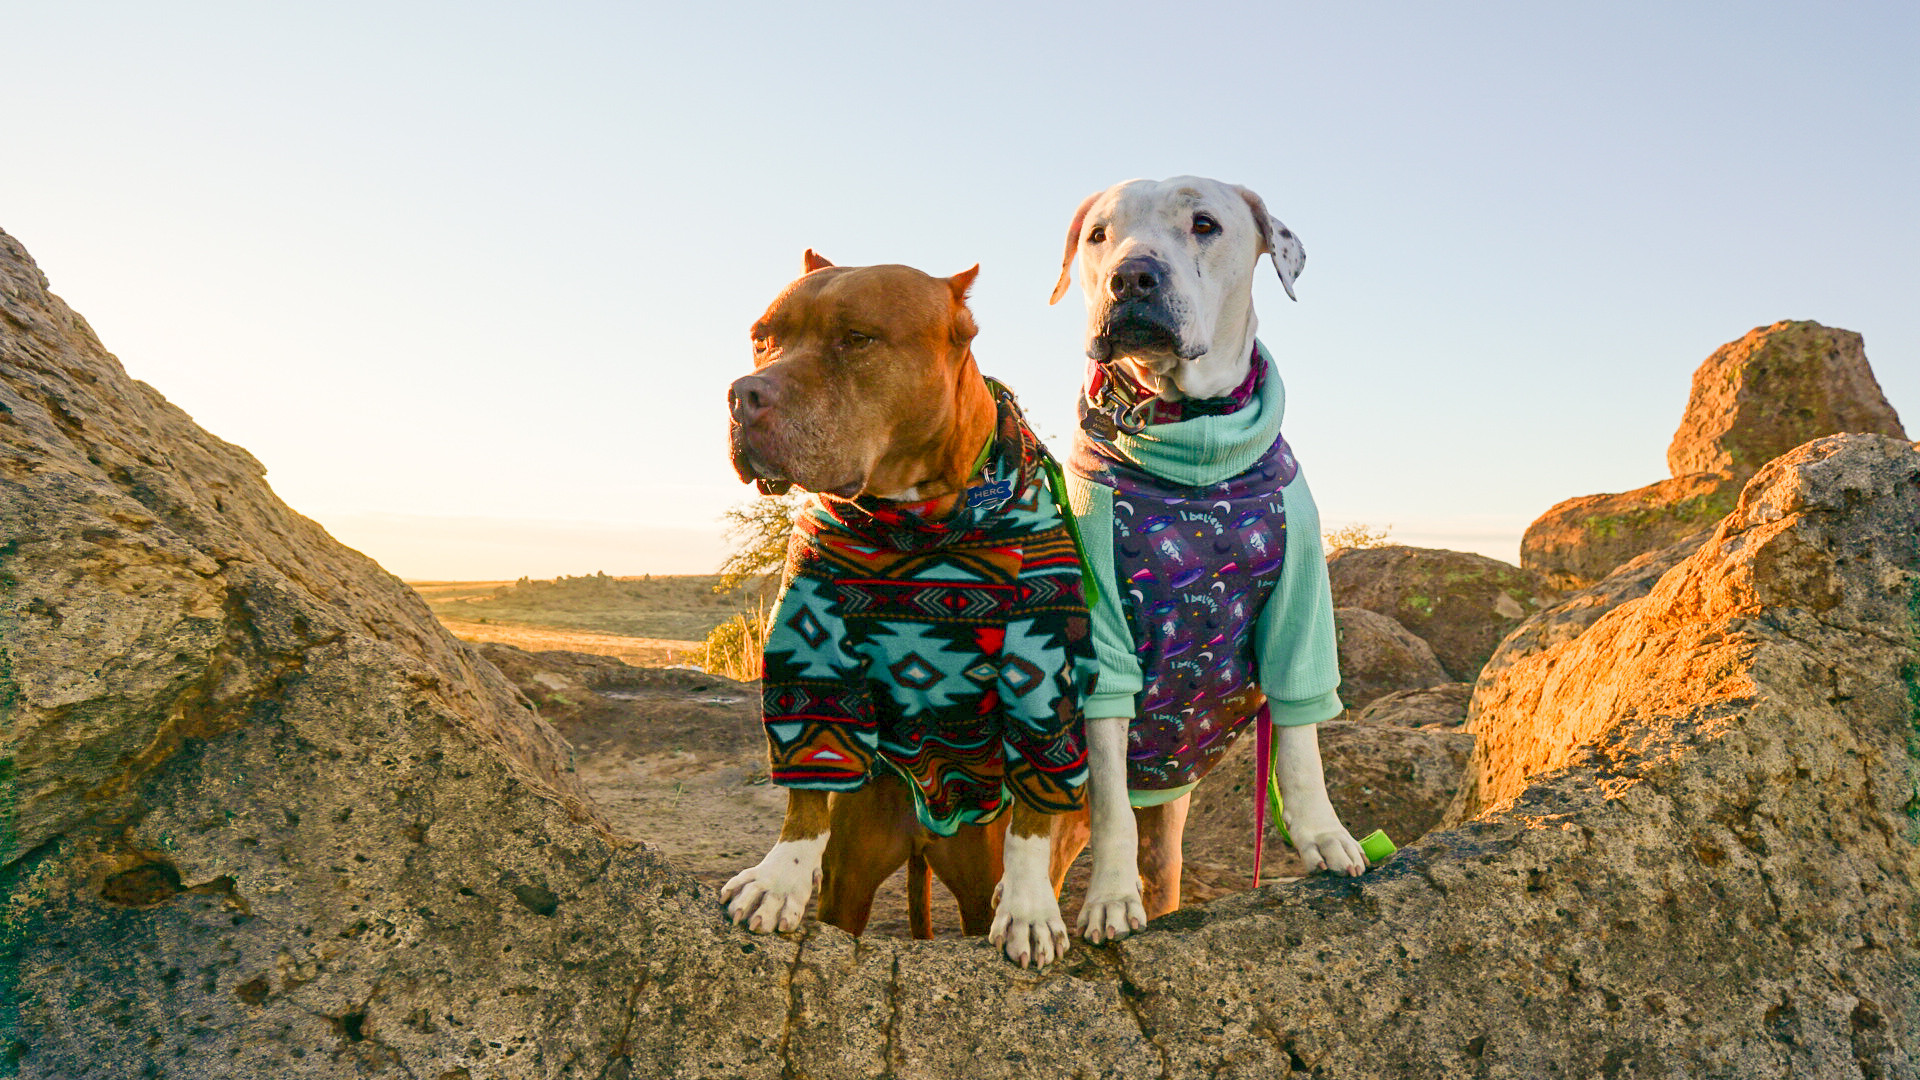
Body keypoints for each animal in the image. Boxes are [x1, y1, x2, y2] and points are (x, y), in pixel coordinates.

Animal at [718, 253, 1098, 968]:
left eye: (857, 339)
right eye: (761, 338)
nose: (742, 394)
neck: (917, 518)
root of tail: (927, 825)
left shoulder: (1043, 660)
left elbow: (1039, 796)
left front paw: (1031, 905)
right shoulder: (810, 644)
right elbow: (808, 769)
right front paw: (779, 876)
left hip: (972, 869)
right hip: (853, 872)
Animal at [1052, 171, 1367, 937]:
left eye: (1204, 224)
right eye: (1098, 235)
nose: (1132, 276)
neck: (1189, 444)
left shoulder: (1300, 604)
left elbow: (1301, 743)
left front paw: (1324, 835)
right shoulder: (1101, 639)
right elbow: (1111, 804)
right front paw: (1109, 898)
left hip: (1166, 824)